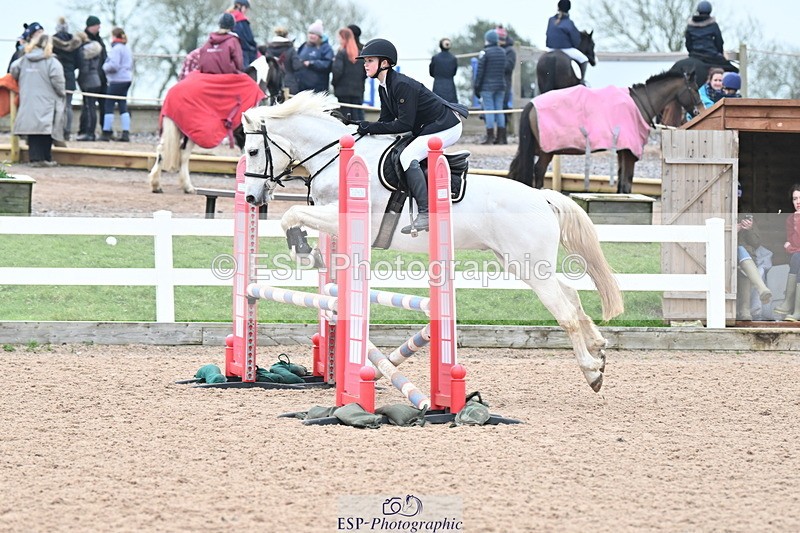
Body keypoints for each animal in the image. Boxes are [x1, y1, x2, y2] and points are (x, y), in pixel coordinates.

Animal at [148, 55, 284, 194]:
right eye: (281, 72)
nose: (280, 95)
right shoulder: (243, 135)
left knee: (161, 150)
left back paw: (156, 184)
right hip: (189, 134)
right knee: (184, 155)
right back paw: (187, 186)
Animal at [240, 91, 625, 393]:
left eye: (254, 151)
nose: (251, 198)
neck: (336, 157)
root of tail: (543, 197)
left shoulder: (343, 216)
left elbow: (291, 216)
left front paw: (304, 251)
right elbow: (305, 230)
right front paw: (313, 255)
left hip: (529, 263)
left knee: (565, 313)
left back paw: (592, 373)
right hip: (521, 262)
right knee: (571, 294)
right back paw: (600, 347)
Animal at [507, 69, 702, 193]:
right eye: (694, 89)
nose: (699, 110)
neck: (638, 104)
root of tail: (532, 104)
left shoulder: (622, 151)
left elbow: (622, 183)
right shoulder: (630, 152)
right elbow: (627, 183)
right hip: (546, 152)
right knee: (538, 171)